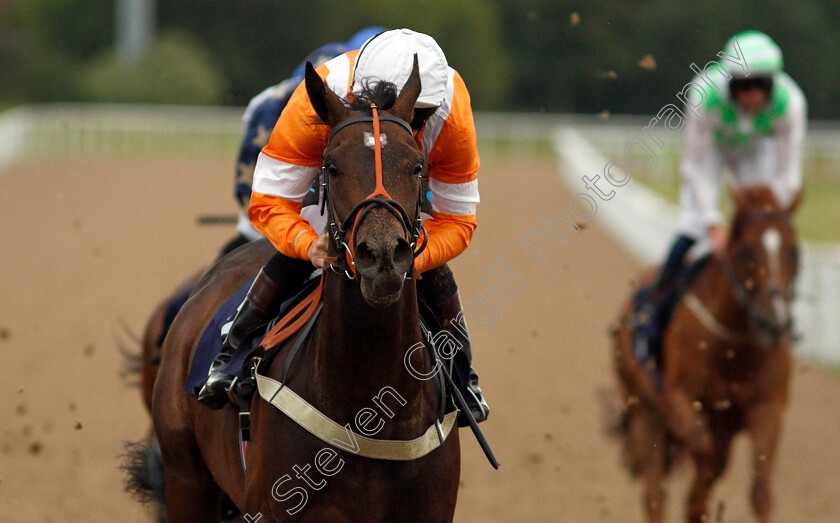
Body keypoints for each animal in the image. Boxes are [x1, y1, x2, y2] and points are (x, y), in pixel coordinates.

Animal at [612, 187, 800, 523]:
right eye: (747, 251)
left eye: (793, 251)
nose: (775, 322)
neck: (734, 348)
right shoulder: (679, 400)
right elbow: (703, 452)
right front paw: (698, 499)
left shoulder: (767, 408)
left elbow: (760, 492)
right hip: (643, 410)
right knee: (655, 494)